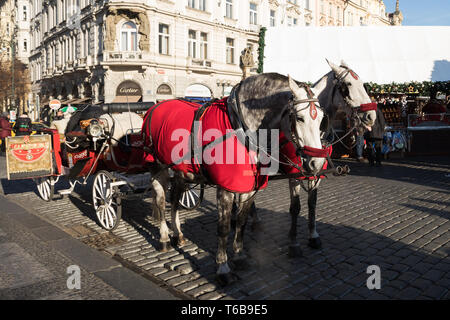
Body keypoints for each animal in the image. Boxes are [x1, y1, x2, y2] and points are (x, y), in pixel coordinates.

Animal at [148, 73, 326, 284]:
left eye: (321, 119)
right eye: (299, 118)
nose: (317, 162)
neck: (242, 129)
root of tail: (157, 105)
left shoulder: (248, 188)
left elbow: (241, 221)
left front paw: (240, 256)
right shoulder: (225, 189)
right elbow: (224, 227)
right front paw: (223, 267)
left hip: (181, 172)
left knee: (175, 198)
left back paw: (178, 233)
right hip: (158, 168)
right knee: (161, 201)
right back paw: (164, 238)